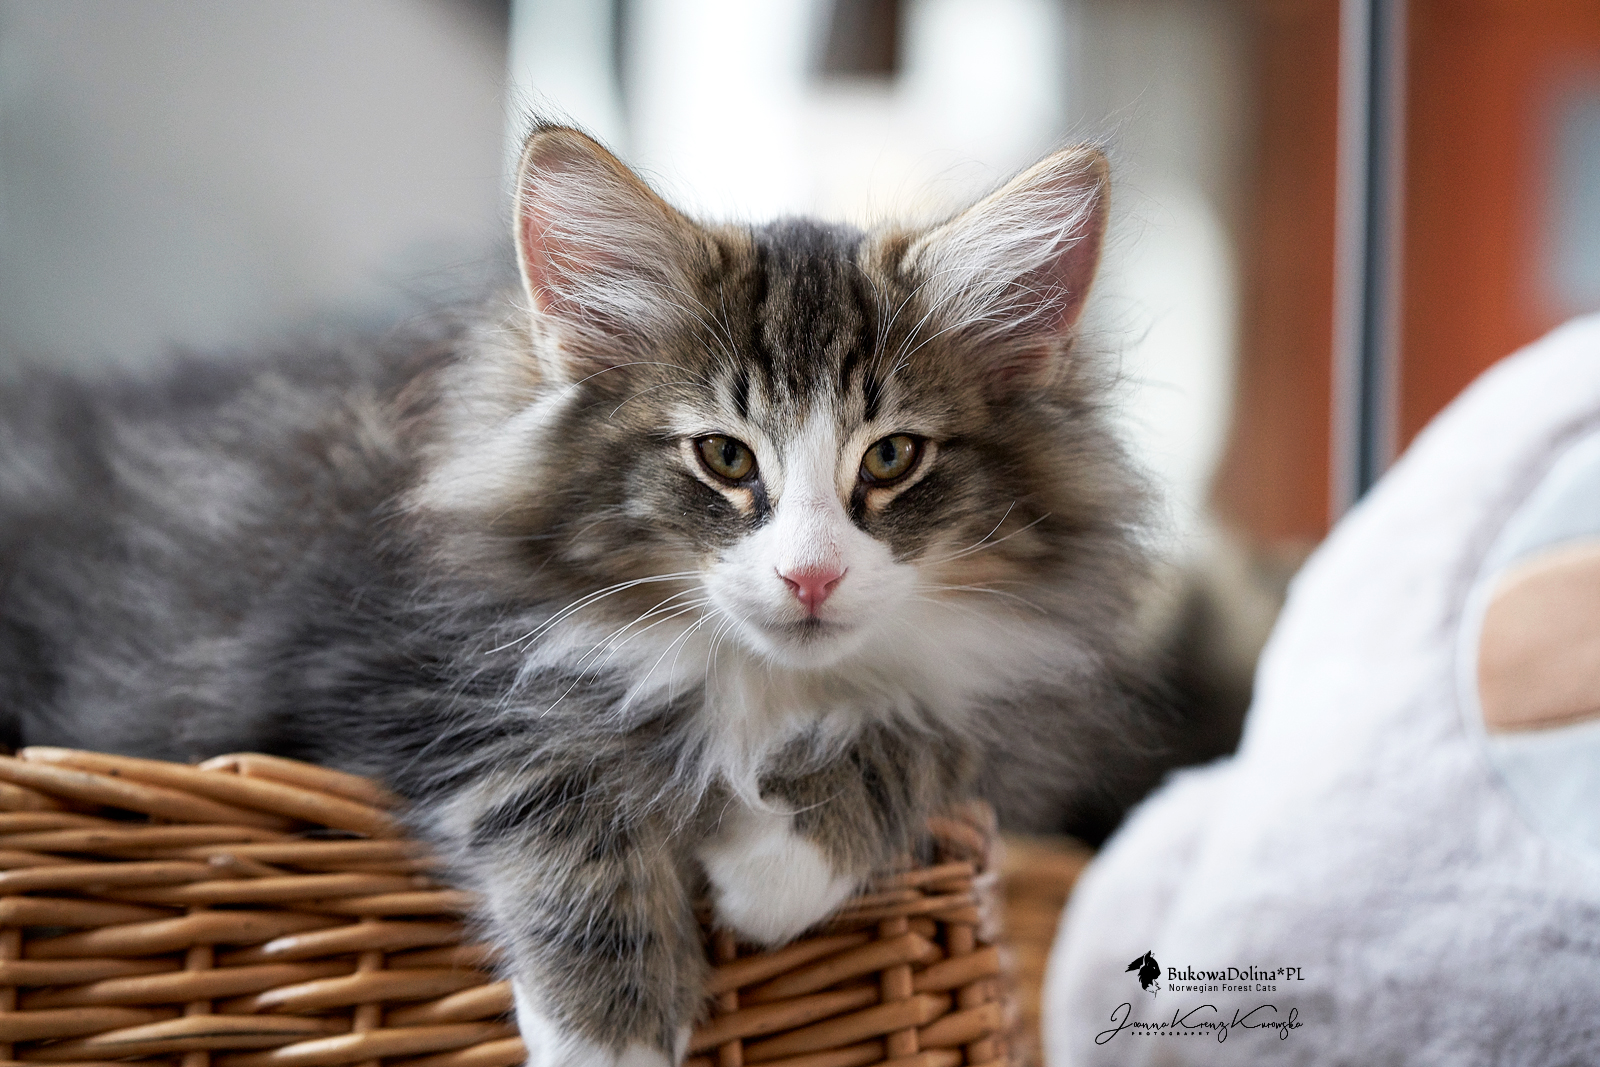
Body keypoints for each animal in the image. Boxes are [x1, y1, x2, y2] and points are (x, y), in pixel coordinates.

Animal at [0, 123, 1157, 1065]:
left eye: (892, 457)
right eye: (724, 456)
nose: (811, 574)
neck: (751, 680)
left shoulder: (1011, 705)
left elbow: (922, 730)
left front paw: (771, 866)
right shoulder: (364, 662)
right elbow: (555, 773)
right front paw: (613, 1023)